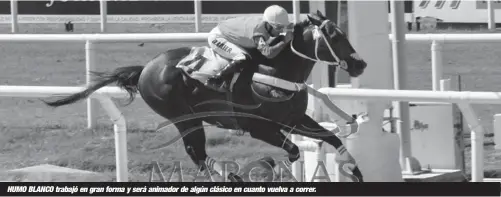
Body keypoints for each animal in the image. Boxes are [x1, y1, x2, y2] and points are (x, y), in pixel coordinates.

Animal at [44, 11, 368, 182]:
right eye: (334, 35)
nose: (360, 64)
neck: (275, 70)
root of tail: (145, 68)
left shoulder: (295, 118)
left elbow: (331, 138)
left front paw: (354, 170)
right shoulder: (259, 127)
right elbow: (292, 152)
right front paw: (266, 167)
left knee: (198, 155)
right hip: (184, 118)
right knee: (197, 154)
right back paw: (230, 175)